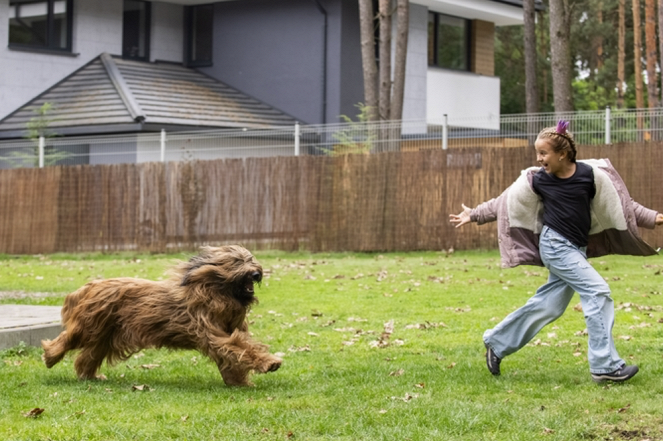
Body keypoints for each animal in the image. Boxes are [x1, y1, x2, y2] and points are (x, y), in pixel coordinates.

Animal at [41, 244, 280, 384]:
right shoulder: (211, 333)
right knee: (68, 338)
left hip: (105, 335)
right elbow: (240, 347)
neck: (215, 292)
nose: (256, 273)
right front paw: (269, 363)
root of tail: (91, 286)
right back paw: (50, 356)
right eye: (237, 262)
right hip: (91, 326)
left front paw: (237, 381)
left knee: (88, 356)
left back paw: (89, 376)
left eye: (251, 259)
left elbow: (234, 354)